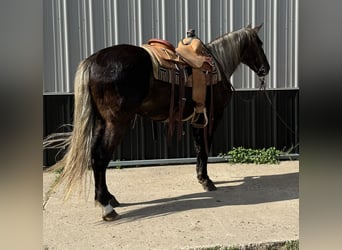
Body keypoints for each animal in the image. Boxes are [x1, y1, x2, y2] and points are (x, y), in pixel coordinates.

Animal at [44, 23, 270, 221]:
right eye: (259, 43)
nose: (266, 68)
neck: (216, 65)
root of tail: (92, 60)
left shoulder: (197, 119)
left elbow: (198, 148)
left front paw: (201, 177)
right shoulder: (212, 117)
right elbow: (204, 149)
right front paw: (206, 181)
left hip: (102, 122)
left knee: (95, 156)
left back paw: (109, 198)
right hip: (116, 123)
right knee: (100, 157)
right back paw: (107, 208)